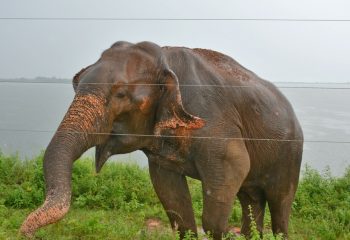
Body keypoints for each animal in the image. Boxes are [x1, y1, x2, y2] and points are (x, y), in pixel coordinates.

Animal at [20, 40, 302, 238]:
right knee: (251, 200)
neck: (164, 57)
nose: (28, 234)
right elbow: (172, 198)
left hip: (290, 153)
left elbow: (234, 169)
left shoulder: (216, 121)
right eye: (75, 87)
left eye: (121, 94)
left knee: (280, 206)